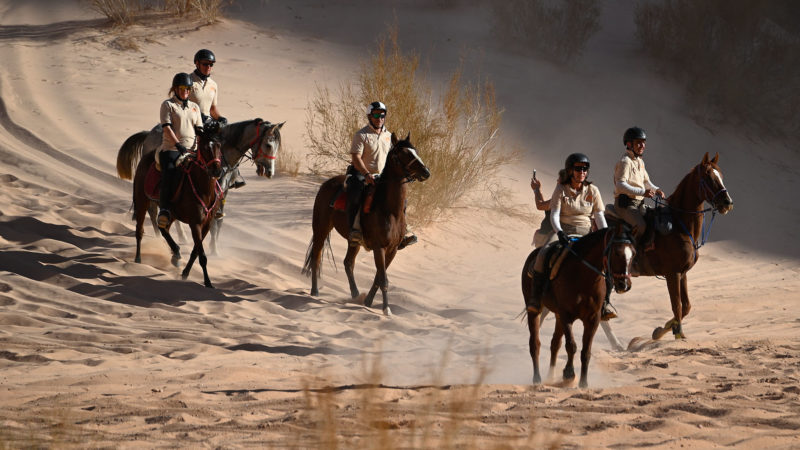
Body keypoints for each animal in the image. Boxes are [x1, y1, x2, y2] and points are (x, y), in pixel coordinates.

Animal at [115, 118, 284, 255]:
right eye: (268, 145)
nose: (270, 172)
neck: (224, 156)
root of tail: (149, 133)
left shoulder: (223, 192)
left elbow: (218, 221)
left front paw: (215, 248)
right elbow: (214, 222)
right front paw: (212, 249)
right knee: (153, 208)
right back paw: (161, 239)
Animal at [129, 127, 223, 288]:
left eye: (219, 146)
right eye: (204, 148)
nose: (216, 170)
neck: (203, 189)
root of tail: (147, 156)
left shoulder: (206, 224)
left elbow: (195, 252)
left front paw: (185, 273)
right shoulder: (195, 223)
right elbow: (202, 255)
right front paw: (207, 281)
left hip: (170, 212)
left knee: (163, 228)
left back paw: (176, 255)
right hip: (142, 201)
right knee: (140, 230)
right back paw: (138, 258)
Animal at [304, 134, 432, 316]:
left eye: (416, 151)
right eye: (404, 154)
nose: (426, 172)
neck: (389, 210)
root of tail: (327, 184)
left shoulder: (393, 249)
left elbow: (379, 276)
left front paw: (368, 301)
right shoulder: (379, 247)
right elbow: (383, 278)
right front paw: (386, 309)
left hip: (353, 241)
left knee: (348, 263)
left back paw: (355, 294)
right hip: (321, 228)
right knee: (316, 256)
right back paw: (315, 291)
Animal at [520, 225, 636, 386]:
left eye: (634, 253)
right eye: (617, 252)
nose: (624, 285)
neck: (583, 277)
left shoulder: (593, 318)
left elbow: (586, 351)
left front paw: (583, 383)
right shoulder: (566, 315)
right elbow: (571, 346)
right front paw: (569, 374)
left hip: (557, 315)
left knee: (555, 344)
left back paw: (550, 377)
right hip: (536, 310)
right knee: (535, 343)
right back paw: (537, 379)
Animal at [608, 153, 736, 340]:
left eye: (721, 176)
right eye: (708, 178)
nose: (727, 203)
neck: (679, 226)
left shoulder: (682, 274)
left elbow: (686, 306)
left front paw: (663, 329)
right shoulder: (672, 274)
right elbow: (677, 306)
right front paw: (678, 333)